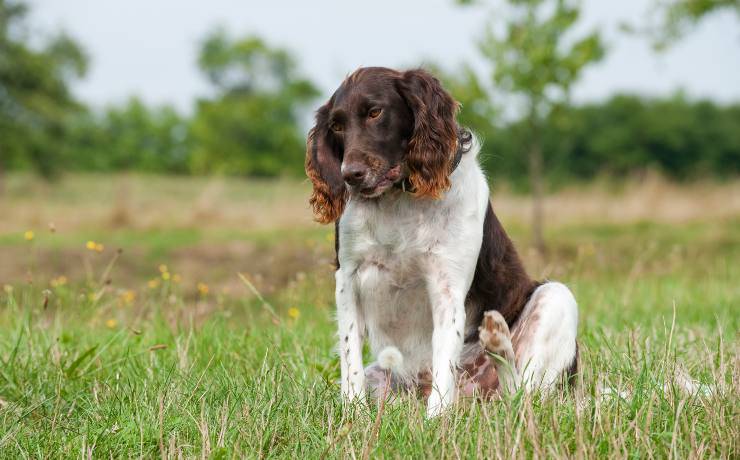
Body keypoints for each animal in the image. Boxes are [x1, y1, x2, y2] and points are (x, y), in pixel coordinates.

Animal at [304, 67, 580, 416]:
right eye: (336, 126)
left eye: (375, 112)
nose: (350, 174)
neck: (399, 200)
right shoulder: (348, 279)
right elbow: (350, 354)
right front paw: (354, 415)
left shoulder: (446, 284)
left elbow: (444, 360)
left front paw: (435, 420)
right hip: (382, 376)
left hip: (556, 298)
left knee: (519, 397)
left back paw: (497, 340)